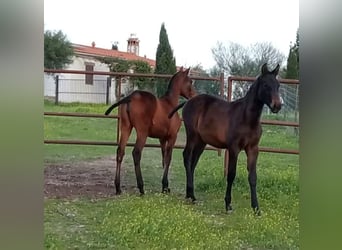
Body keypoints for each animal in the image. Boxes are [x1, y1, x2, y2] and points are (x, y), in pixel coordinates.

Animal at [170, 63, 282, 214]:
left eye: (278, 85)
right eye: (265, 85)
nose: (277, 106)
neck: (247, 118)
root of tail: (189, 101)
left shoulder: (253, 149)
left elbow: (253, 177)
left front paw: (256, 208)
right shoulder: (234, 149)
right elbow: (231, 175)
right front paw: (228, 204)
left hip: (201, 141)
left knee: (193, 163)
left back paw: (190, 194)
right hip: (192, 136)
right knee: (187, 157)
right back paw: (191, 195)